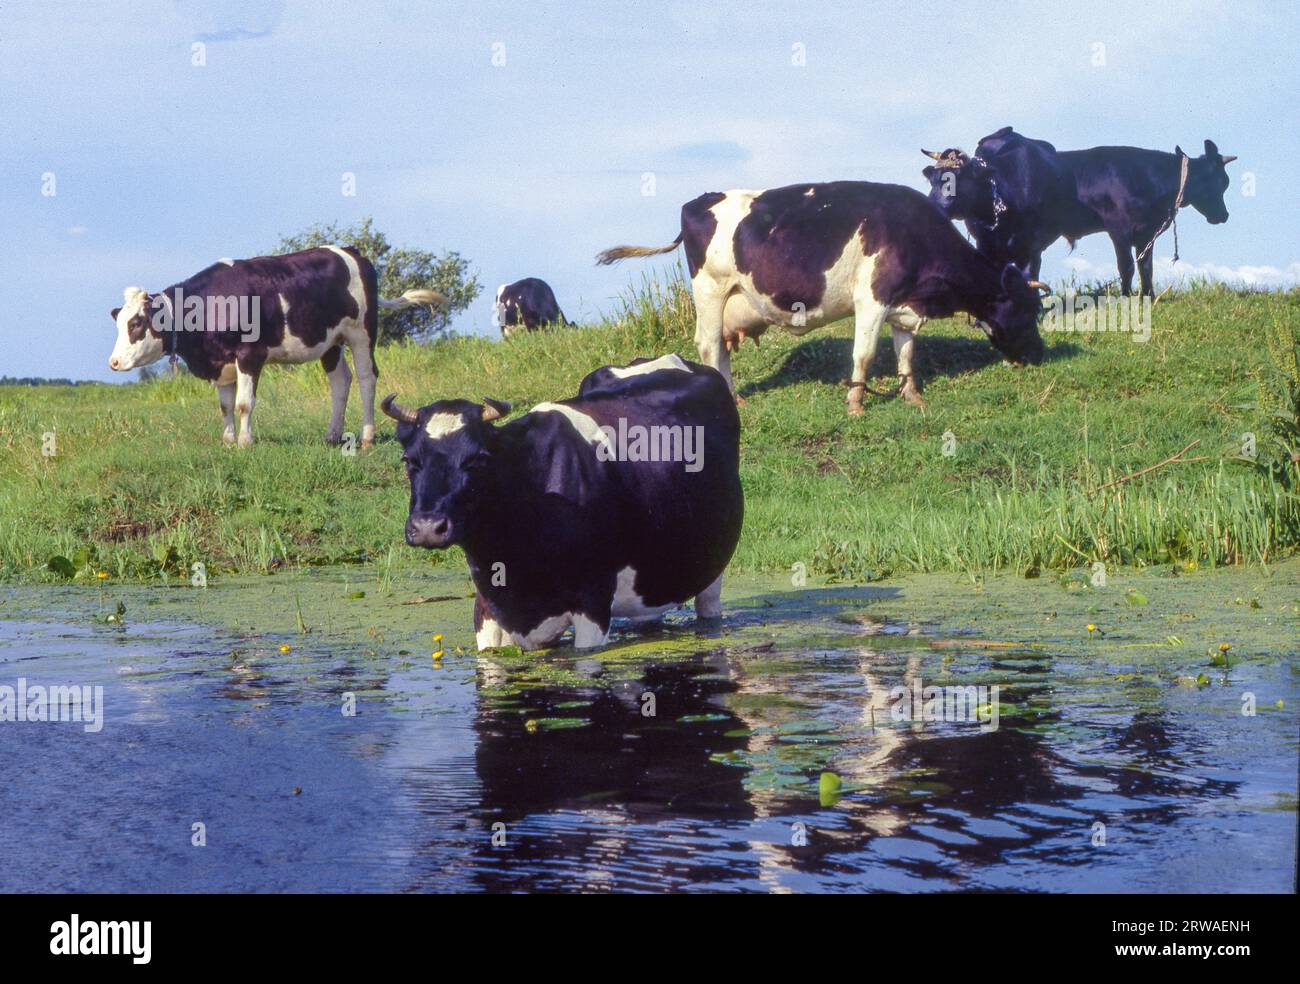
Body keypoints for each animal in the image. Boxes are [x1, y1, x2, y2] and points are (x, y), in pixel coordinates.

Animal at [107, 246, 444, 447]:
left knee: (366, 378)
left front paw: (245, 442)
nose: (114, 362)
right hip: (330, 342)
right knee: (340, 381)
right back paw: (332, 435)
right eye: (119, 323)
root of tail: (353, 253)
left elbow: (244, 403)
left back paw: (367, 436)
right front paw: (228, 441)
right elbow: (225, 406)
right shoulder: (221, 364)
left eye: (136, 324)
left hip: (362, 332)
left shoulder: (249, 354)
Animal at [383, 353, 743, 651]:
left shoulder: (593, 601)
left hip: (712, 564)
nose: (428, 527)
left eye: (477, 459)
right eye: (409, 460)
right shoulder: (486, 608)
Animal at [596, 181, 1047, 414]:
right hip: (710, 287)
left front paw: (912, 395)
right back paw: (729, 398)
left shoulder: (902, 304)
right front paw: (856, 404)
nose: (1040, 354)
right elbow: (864, 354)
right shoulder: (872, 299)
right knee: (708, 345)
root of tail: (702, 200)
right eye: (1028, 309)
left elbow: (905, 351)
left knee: (720, 349)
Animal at [922, 129, 1237, 296]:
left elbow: (1145, 266)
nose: (1223, 216)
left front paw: (1148, 296)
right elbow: (1126, 266)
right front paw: (1126, 297)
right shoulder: (1119, 229)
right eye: (1222, 180)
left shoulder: (1146, 233)